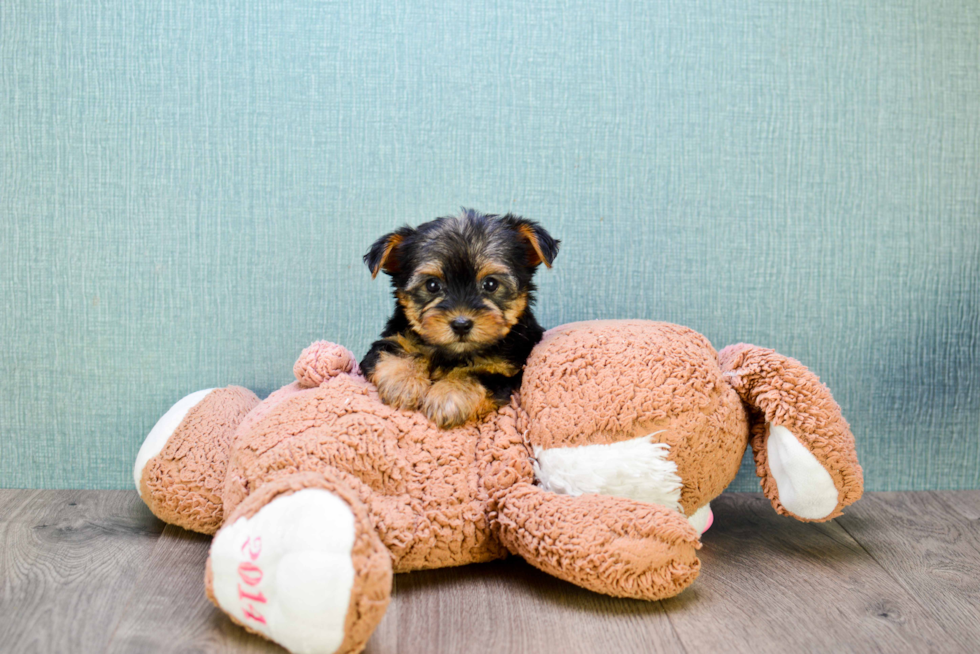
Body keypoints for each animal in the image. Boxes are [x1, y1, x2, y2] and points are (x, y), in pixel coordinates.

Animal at [360, 210, 560, 430]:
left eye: (491, 284)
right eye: (432, 285)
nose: (461, 324)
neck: (453, 354)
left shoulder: (507, 370)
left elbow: (475, 374)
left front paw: (448, 396)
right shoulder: (393, 338)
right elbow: (399, 351)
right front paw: (403, 384)